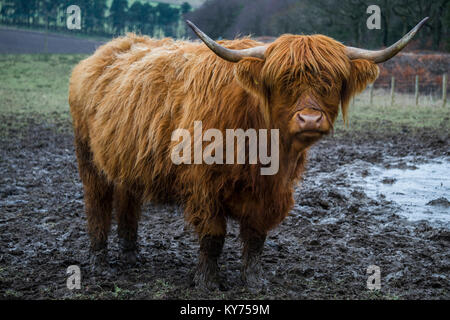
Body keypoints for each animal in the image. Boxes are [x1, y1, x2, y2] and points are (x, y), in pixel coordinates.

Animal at [68, 18, 428, 292]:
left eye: (331, 82)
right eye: (284, 82)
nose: (310, 119)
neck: (262, 145)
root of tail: (106, 51)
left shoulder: (271, 191)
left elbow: (256, 238)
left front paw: (255, 282)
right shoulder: (204, 187)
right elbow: (213, 236)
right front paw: (207, 282)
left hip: (124, 162)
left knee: (128, 202)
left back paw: (131, 255)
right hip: (88, 157)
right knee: (97, 204)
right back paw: (99, 260)